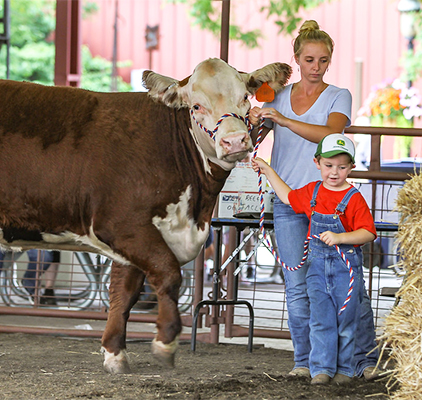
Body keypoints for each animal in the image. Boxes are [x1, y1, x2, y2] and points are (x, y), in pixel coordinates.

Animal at [0, 57, 290, 374]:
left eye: (245, 97)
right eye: (197, 106)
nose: (235, 142)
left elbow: (123, 293)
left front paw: (115, 354)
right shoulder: (123, 226)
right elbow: (168, 274)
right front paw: (165, 341)